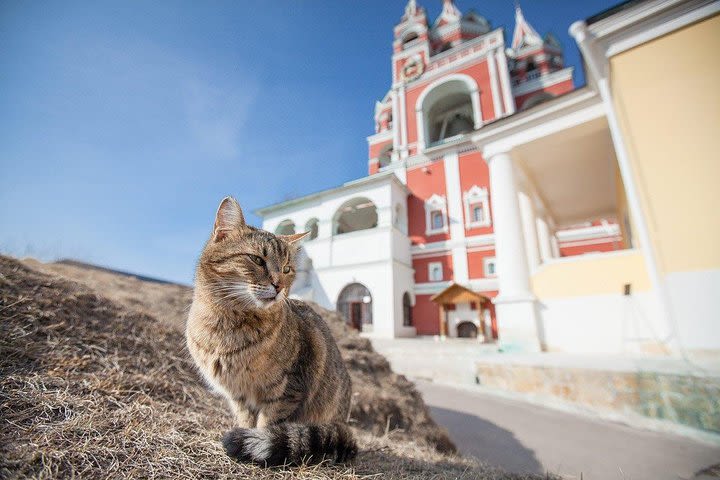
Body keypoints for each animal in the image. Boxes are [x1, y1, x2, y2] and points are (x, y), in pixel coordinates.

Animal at [184, 195, 356, 464]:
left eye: (286, 269)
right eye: (257, 260)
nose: (278, 286)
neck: (226, 324)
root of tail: (343, 424)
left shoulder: (287, 389)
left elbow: (268, 425)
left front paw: (256, 441)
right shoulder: (238, 395)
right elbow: (246, 419)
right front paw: (244, 433)